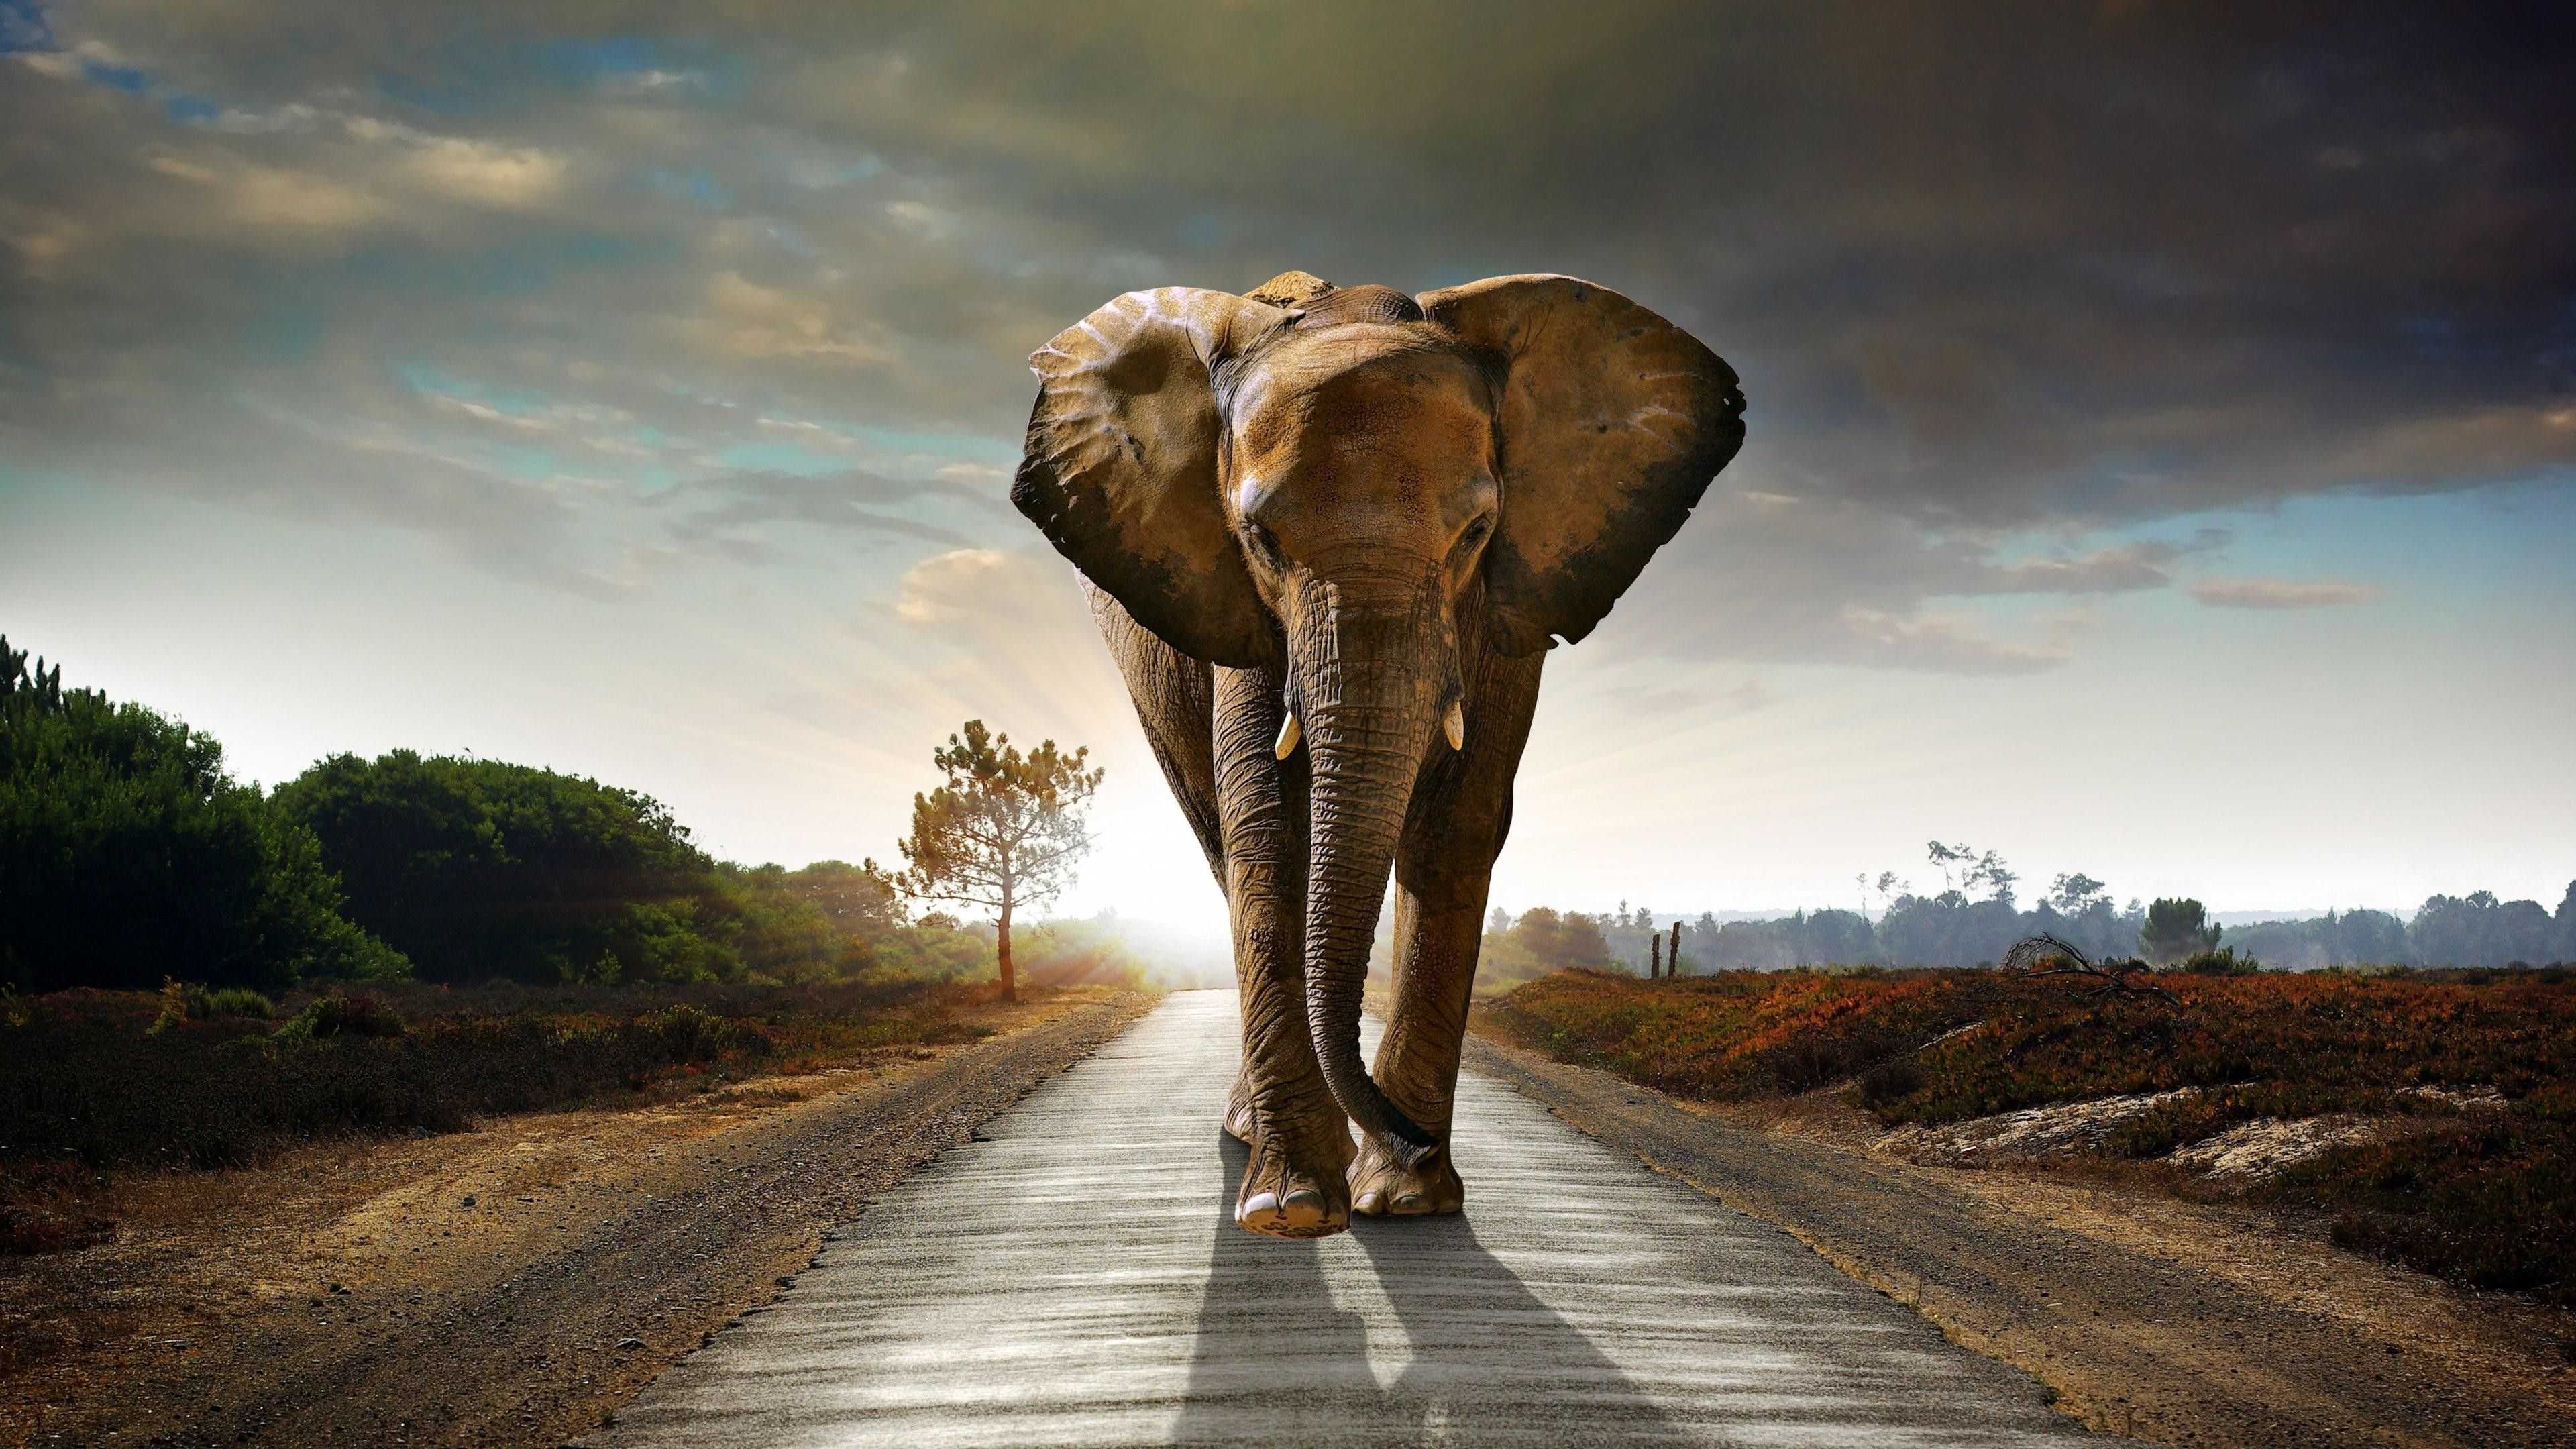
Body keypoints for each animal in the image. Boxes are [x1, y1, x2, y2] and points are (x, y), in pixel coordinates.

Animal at [1013, 269, 1745, 1237]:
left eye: (1476, 532)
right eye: (1259, 539)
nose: (1412, 1137)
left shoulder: (1507, 607)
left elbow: (1457, 826)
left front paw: (1406, 1199)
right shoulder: (1238, 606)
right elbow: (1270, 826)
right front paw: (1293, 1208)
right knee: (1218, 841)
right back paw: (1254, 1138)